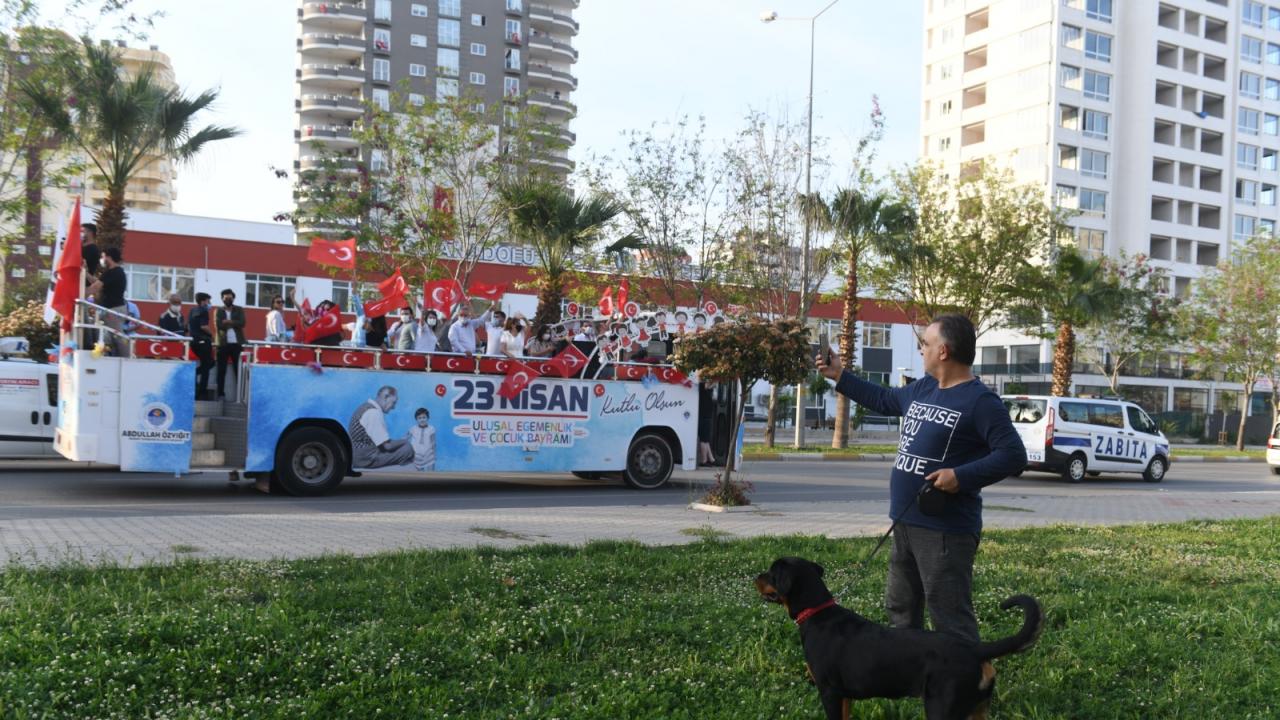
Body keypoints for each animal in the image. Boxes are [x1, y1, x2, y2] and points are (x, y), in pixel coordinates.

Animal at [752, 556, 1044, 717]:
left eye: (772, 573)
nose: (756, 577)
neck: (817, 613)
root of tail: (975, 649)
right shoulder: (845, 697)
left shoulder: (830, 691)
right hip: (976, 709)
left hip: (942, 706)